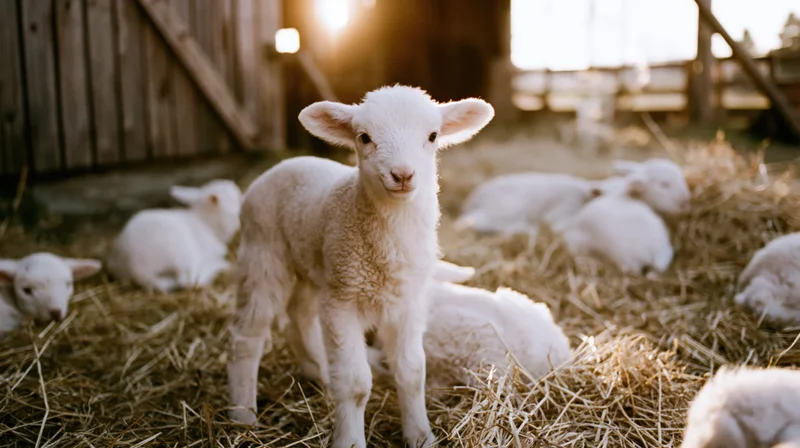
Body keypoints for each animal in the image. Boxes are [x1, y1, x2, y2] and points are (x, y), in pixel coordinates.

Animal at [106, 179, 242, 293]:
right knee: (187, 282)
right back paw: (220, 265)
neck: (206, 223)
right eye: (237, 200)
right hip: (183, 254)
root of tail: (139, 272)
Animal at [227, 85, 494, 448]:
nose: (402, 175)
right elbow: (355, 384)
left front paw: (421, 436)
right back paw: (242, 415)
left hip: (314, 263)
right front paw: (350, 439)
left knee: (300, 314)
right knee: (248, 335)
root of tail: (285, 163)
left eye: (433, 136)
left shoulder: (408, 303)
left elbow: (412, 373)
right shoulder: (343, 302)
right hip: (262, 252)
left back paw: (319, 372)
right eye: (364, 137)